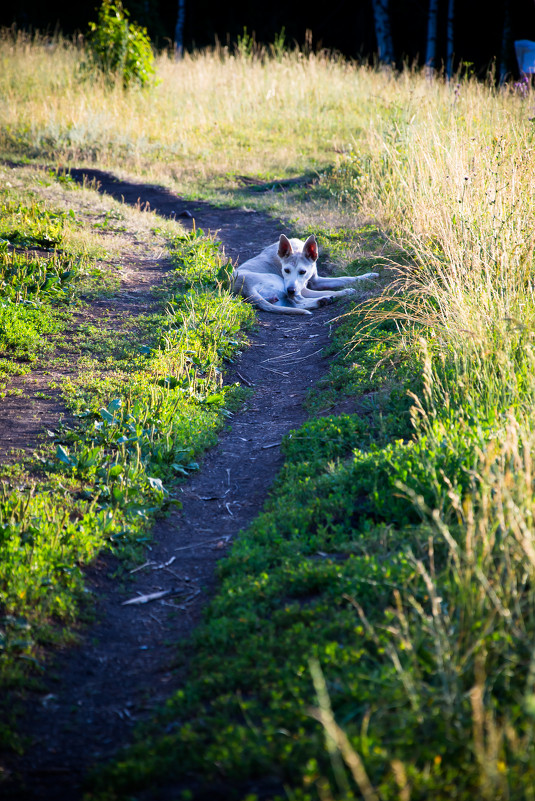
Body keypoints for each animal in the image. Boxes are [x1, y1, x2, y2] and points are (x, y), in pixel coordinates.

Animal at [232, 233, 378, 314]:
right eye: (286, 270)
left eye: (303, 272)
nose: (290, 290)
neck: (297, 249)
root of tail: (246, 289)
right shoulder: (304, 288)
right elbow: (334, 288)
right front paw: (346, 291)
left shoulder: (316, 281)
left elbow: (344, 278)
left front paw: (368, 276)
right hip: (279, 282)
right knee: (298, 300)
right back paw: (325, 299)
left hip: (280, 299)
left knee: (295, 303)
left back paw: (321, 301)